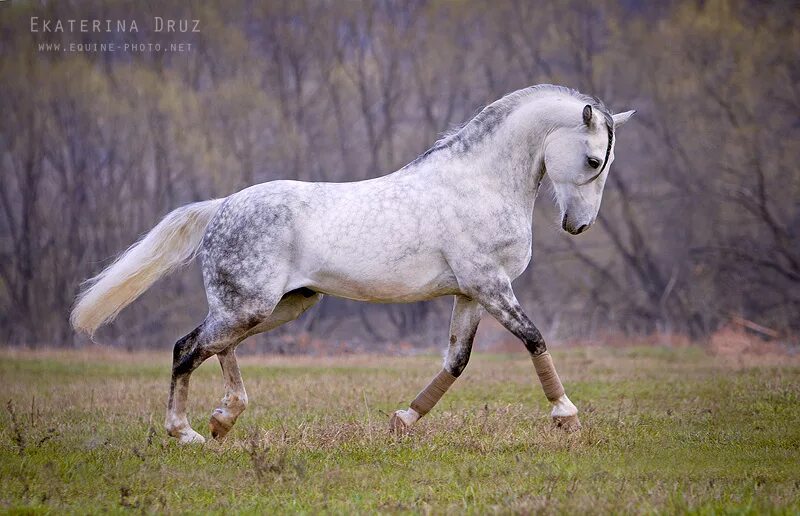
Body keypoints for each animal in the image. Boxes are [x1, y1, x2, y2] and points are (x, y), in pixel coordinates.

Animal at [73, 84, 636, 444]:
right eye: (593, 160)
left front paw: (402, 421)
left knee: (217, 346)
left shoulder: (470, 294)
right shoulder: (490, 285)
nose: (578, 226)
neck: (479, 183)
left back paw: (222, 420)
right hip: (249, 305)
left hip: (276, 306)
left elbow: (456, 361)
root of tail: (223, 207)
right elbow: (534, 337)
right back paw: (185, 431)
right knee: (188, 347)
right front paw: (567, 416)